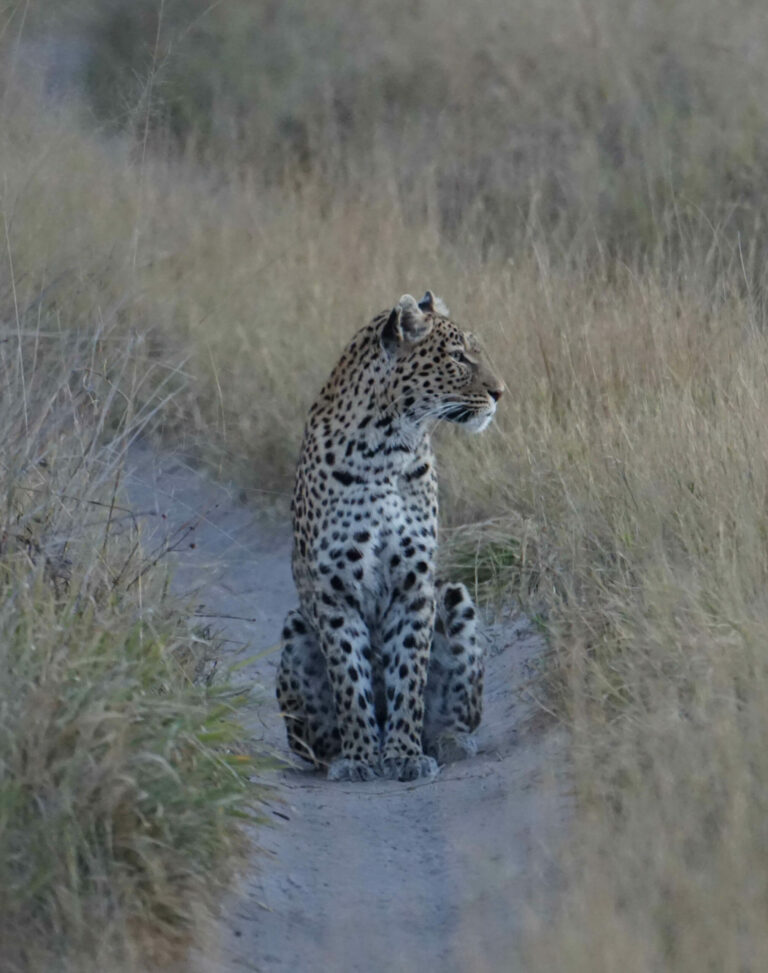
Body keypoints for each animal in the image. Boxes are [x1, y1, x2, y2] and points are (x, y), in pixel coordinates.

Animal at [276, 290, 504, 784]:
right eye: (458, 357)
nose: (501, 393)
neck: (388, 446)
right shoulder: (335, 590)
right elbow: (349, 676)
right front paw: (361, 757)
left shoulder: (414, 585)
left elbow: (409, 673)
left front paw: (403, 753)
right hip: (296, 627)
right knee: (313, 743)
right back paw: (337, 755)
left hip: (454, 596)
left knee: (455, 717)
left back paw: (451, 742)